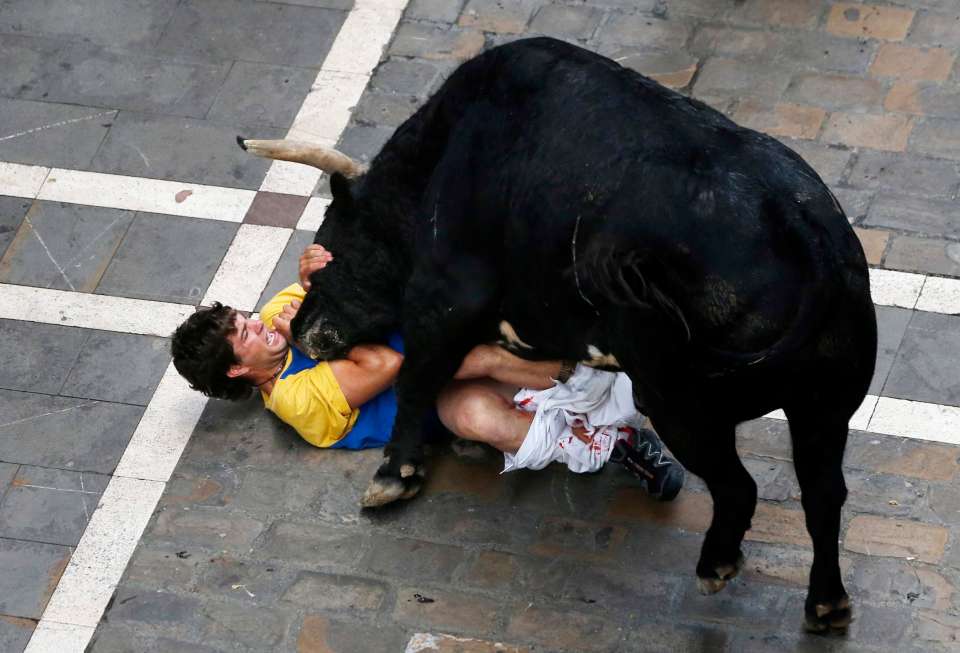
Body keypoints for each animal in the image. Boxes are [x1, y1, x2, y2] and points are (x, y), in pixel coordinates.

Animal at [240, 37, 876, 632]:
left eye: (330, 244)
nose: (300, 329)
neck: (440, 158)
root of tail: (808, 233)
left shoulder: (442, 298)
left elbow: (417, 380)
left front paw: (393, 477)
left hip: (684, 407)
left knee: (739, 487)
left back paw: (716, 566)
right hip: (823, 407)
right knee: (824, 495)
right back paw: (826, 605)